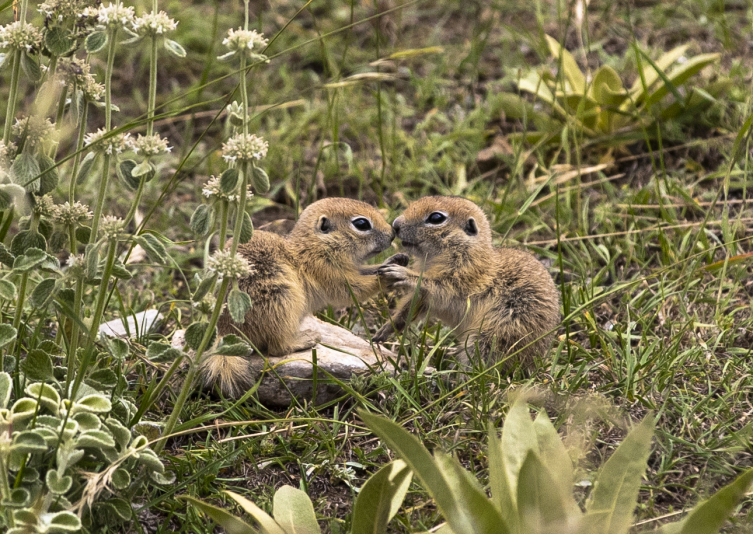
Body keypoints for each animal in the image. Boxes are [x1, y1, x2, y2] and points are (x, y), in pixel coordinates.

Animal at [200, 199, 400, 400]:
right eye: (361, 224)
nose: (392, 234)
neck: (315, 245)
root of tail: (225, 332)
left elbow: (366, 271)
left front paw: (395, 261)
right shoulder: (327, 271)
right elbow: (353, 288)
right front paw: (386, 278)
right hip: (281, 300)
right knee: (277, 348)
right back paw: (306, 339)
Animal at [374, 198, 560, 372]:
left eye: (436, 218)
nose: (395, 225)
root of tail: (536, 361)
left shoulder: (462, 278)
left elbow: (438, 286)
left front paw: (401, 272)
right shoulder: (423, 296)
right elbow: (411, 306)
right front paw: (385, 330)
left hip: (494, 334)